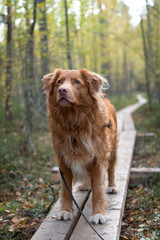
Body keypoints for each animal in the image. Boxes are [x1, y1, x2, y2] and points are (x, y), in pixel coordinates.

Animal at [42, 68, 117, 224]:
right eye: (59, 81)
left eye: (77, 82)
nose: (62, 90)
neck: (74, 122)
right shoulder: (63, 161)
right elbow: (66, 190)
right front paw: (66, 211)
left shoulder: (97, 161)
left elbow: (98, 191)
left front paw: (98, 213)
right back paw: (86, 185)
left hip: (112, 150)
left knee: (111, 169)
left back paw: (112, 187)